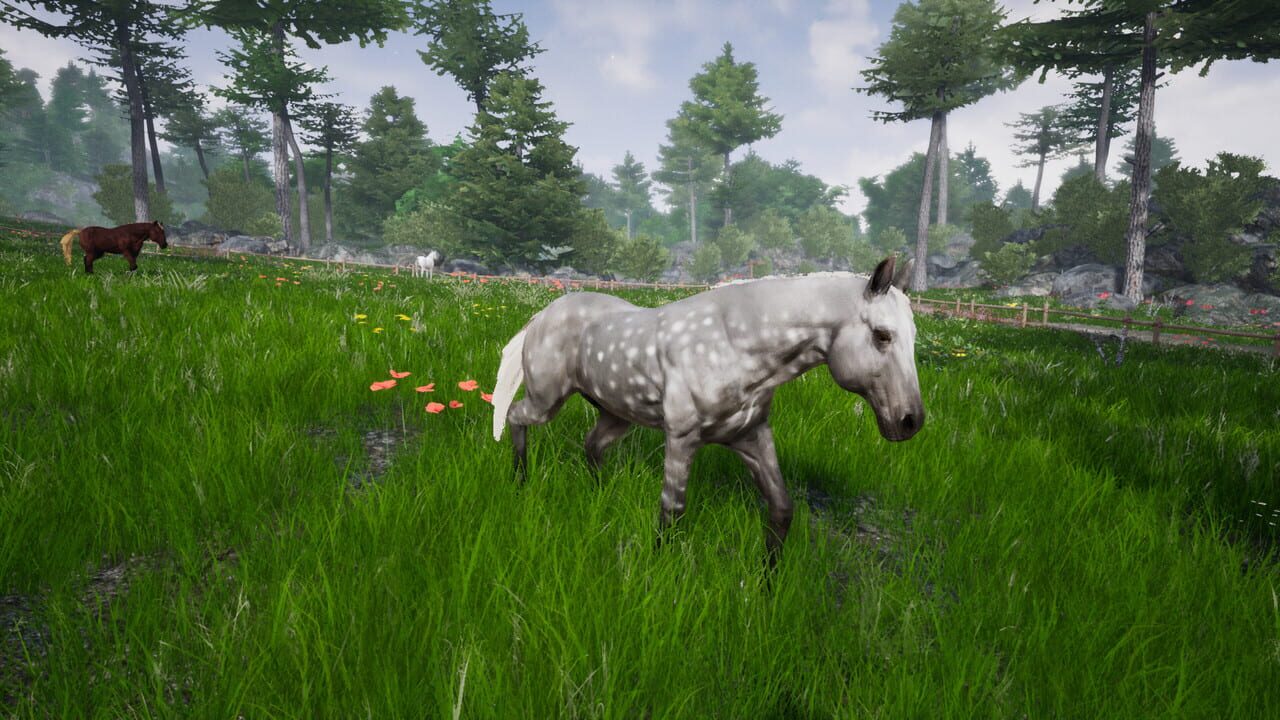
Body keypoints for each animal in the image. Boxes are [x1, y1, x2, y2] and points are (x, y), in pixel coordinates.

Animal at [491, 255, 925, 567]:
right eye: (882, 335)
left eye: (914, 335)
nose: (910, 421)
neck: (735, 342)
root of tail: (542, 315)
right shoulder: (682, 438)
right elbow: (672, 510)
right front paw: (659, 568)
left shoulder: (752, 437)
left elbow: (782, 511)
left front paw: (768, 584)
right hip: (546, 399)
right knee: (514, 416)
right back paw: (519, 481)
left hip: (617, 414)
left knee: (592, 446)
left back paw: (599, 496)